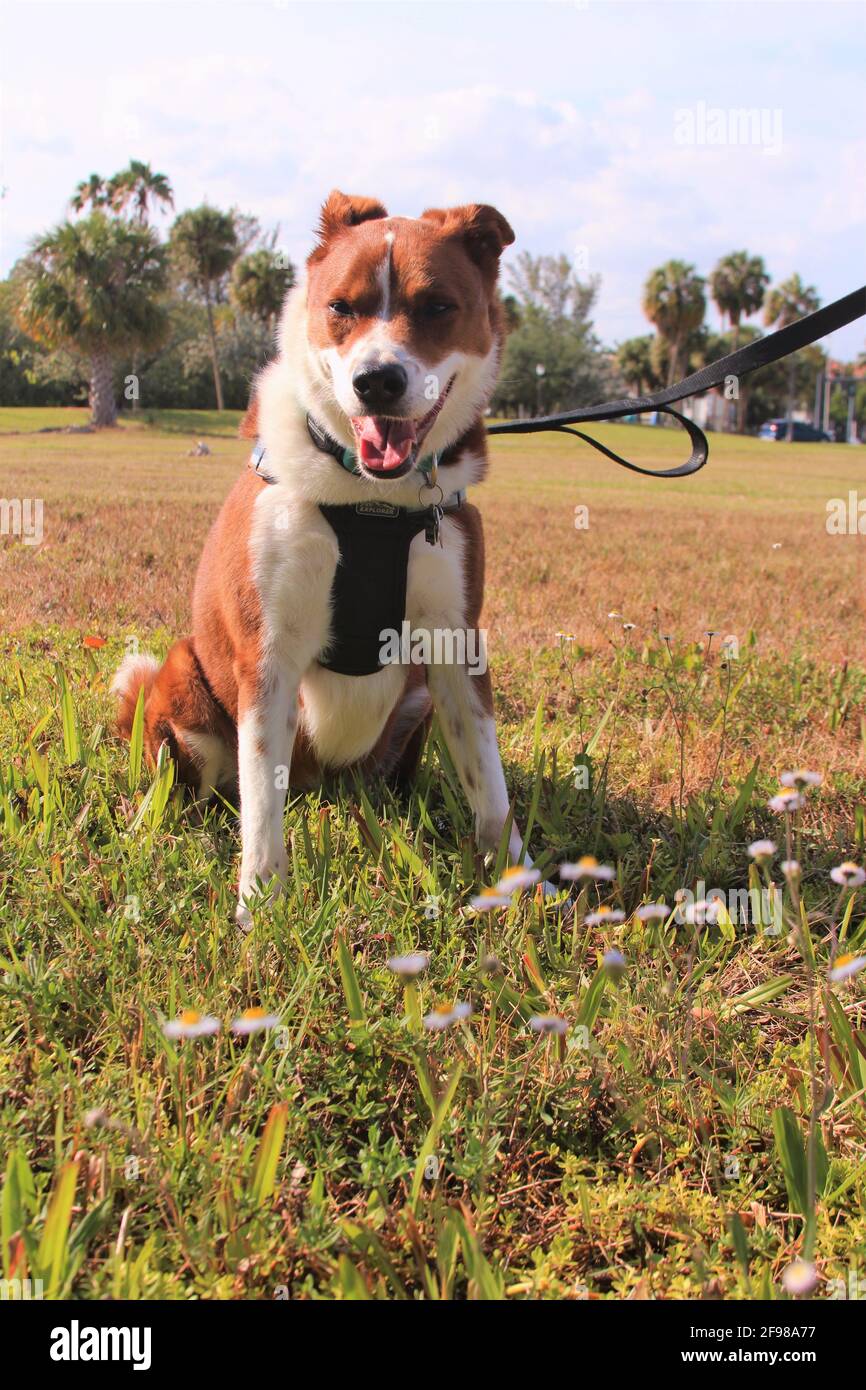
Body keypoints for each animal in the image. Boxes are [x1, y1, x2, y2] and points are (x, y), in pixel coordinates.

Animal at [112, 187, 542, 922]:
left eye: (438, 306)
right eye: (341, 306)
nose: (377, 381)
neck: (372, 500)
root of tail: (323, 787)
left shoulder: (456, 644)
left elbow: (489, 779)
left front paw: (518, 880)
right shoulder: (268, 653)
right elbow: (262, 796)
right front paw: (262, 903)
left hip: (413, 697)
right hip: (183, 679)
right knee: (193, 780)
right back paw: (150, 822)